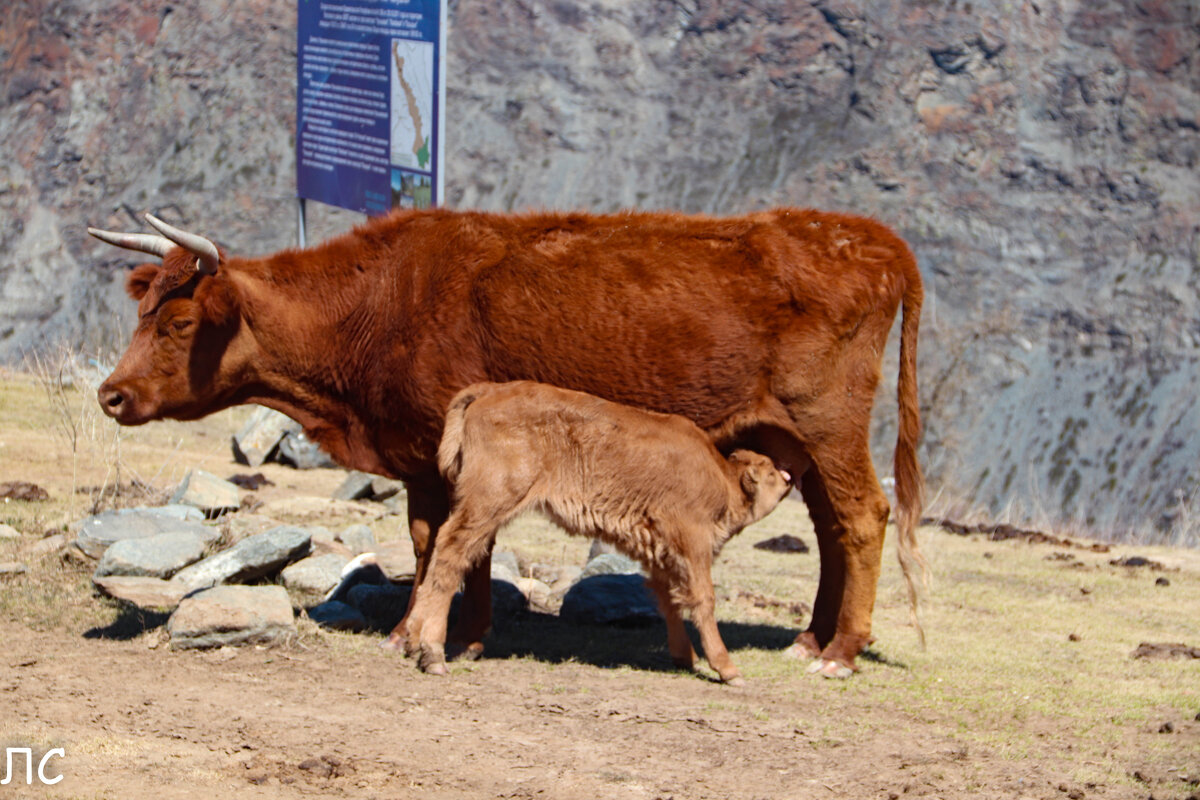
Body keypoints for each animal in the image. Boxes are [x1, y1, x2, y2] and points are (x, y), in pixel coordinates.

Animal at [405, 383, 796, 686]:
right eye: (770, 472)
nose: (789, 476)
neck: (721, 477)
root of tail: (489, 390)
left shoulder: (659, 551)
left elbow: (669, 600)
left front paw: (686, 657)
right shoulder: (693, 542)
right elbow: (703, 598)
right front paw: (727, 668)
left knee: (441, 550)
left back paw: (412, 639)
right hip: (487, 506)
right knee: (451, 555)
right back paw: (433, 654)